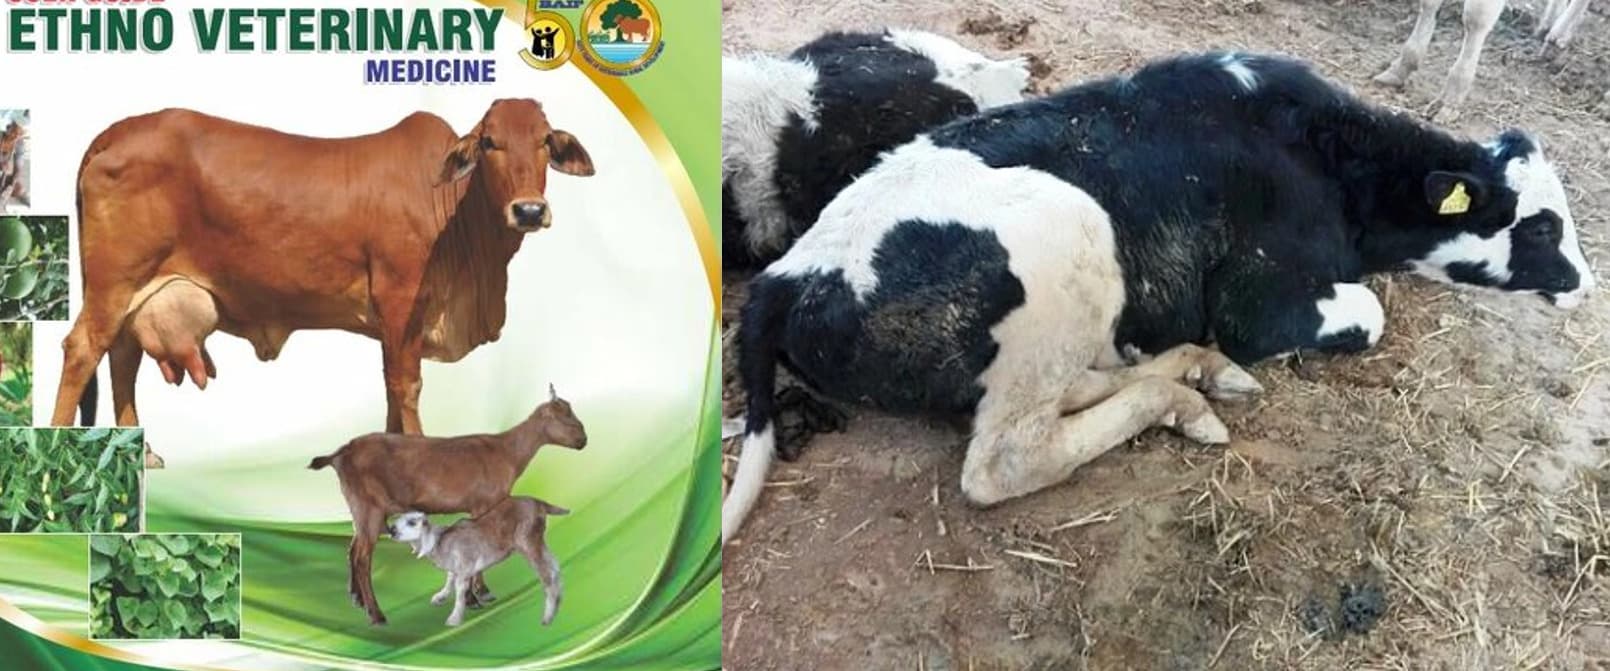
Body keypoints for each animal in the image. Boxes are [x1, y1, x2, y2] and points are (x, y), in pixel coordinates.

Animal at [53, 100, 596, 462]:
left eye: (546, 141)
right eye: (488, 142)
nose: (529, 211)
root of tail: (119, 130)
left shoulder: (395, 323)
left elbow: (390, 386)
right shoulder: (401, 298)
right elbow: (407, 385)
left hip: (136, 291)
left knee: (123, 355)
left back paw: (142, 453)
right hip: (114, 282)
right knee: (84, 349)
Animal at [1374, 0, 1595, 121]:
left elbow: (1477, 15)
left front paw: (1452, 97)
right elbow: (1429, 4)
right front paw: (1403, 65)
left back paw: (1557, 35)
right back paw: (1551, 30)